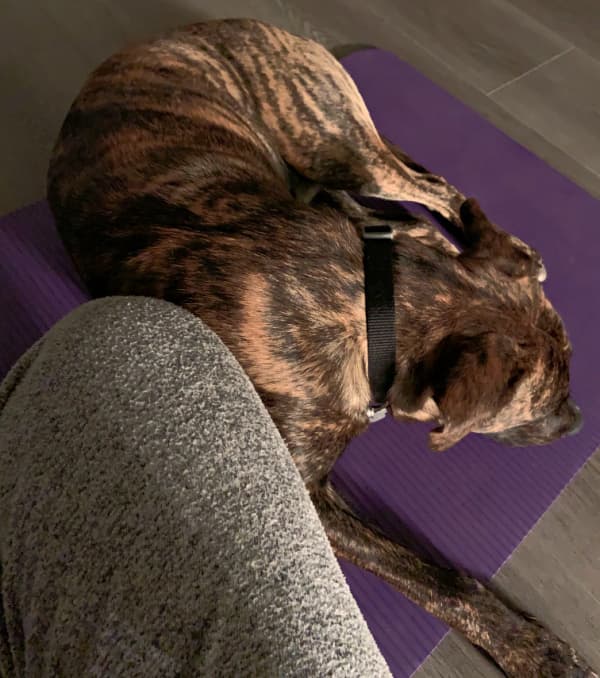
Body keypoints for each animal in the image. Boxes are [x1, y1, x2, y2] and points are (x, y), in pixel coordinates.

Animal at [45, 18, 592, 676]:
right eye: (547, 402)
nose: (578, 422)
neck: (374, 301)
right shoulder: (303, 495)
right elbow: (436, 580)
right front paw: (530, 647)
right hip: (331, 153)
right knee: (418, 199)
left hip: (339, 154)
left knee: (429, 194)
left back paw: (510, 247)